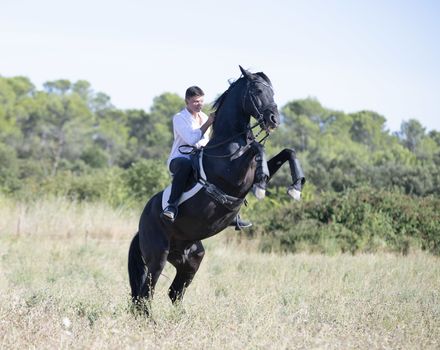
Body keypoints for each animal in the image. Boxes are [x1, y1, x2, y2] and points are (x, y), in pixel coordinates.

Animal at [129, 67, 304, 314]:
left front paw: (296, 187)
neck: (229, 142)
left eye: (272, 91)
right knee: (145, 295)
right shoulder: (233, 174)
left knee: (174, 292)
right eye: (257, 91)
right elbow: (257, 147)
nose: (274, 120)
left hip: (191, 258)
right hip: (157, 257)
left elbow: (288, 152)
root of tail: (141, 224)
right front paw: (262, 186)